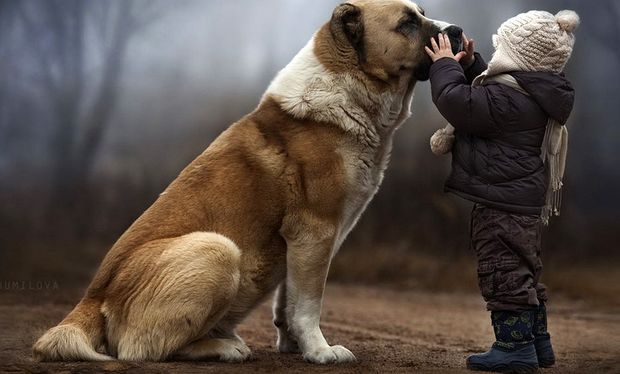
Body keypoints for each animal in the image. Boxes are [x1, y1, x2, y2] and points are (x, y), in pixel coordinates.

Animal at [32, 0, 460, 366]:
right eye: (406, 23)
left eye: (424, 12)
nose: (456, 30)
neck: (348, 90)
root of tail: (91, 298)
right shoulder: (315, 231)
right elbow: (309, 304)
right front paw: (320, 352)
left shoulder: (302, 243)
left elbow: (288, 301)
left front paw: (294, 346)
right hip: (217, 249)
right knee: (142, 349)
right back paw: (225, 347)